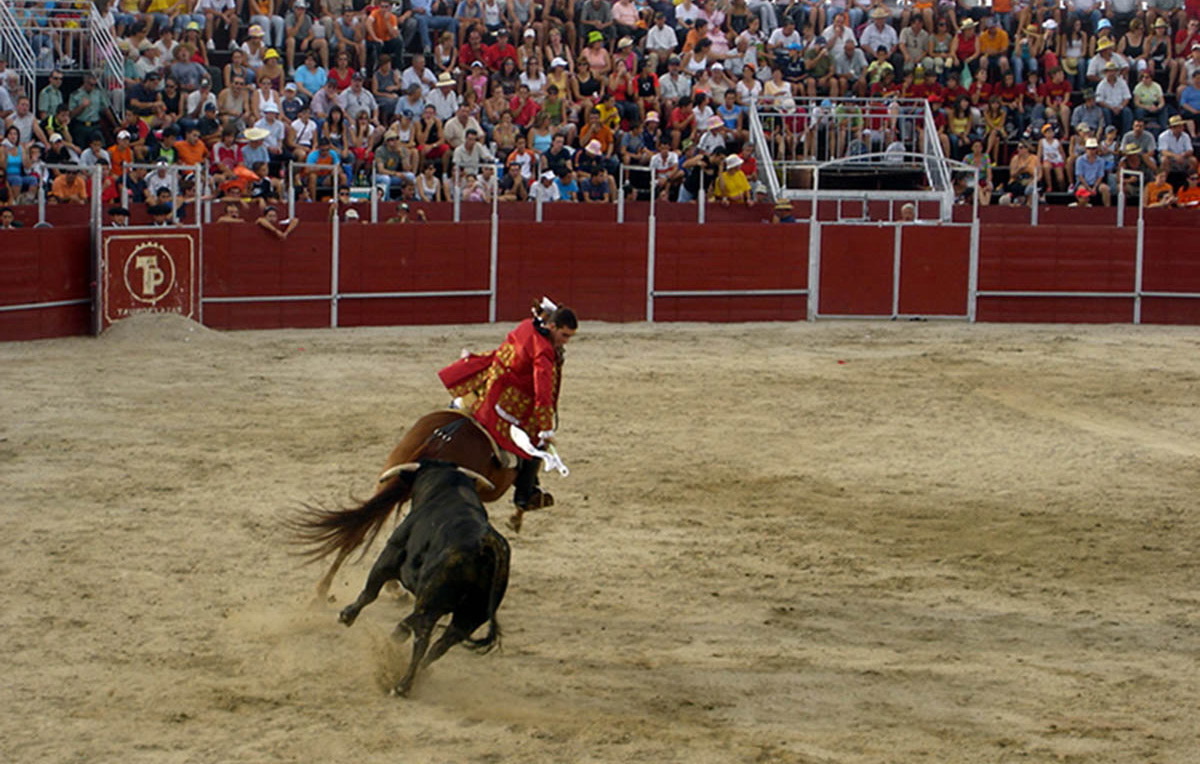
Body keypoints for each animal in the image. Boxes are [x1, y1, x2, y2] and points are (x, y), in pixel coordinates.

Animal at [338, 462, 511, 695]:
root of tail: (485, 544)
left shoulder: (391, 555)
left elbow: (370, 591)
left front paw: (347, 615)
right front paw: (397, 634)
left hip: (433, 603)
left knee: (423, 640)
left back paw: (402, 685)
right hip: (470, 616)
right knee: (441, 645)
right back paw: (418, 672)